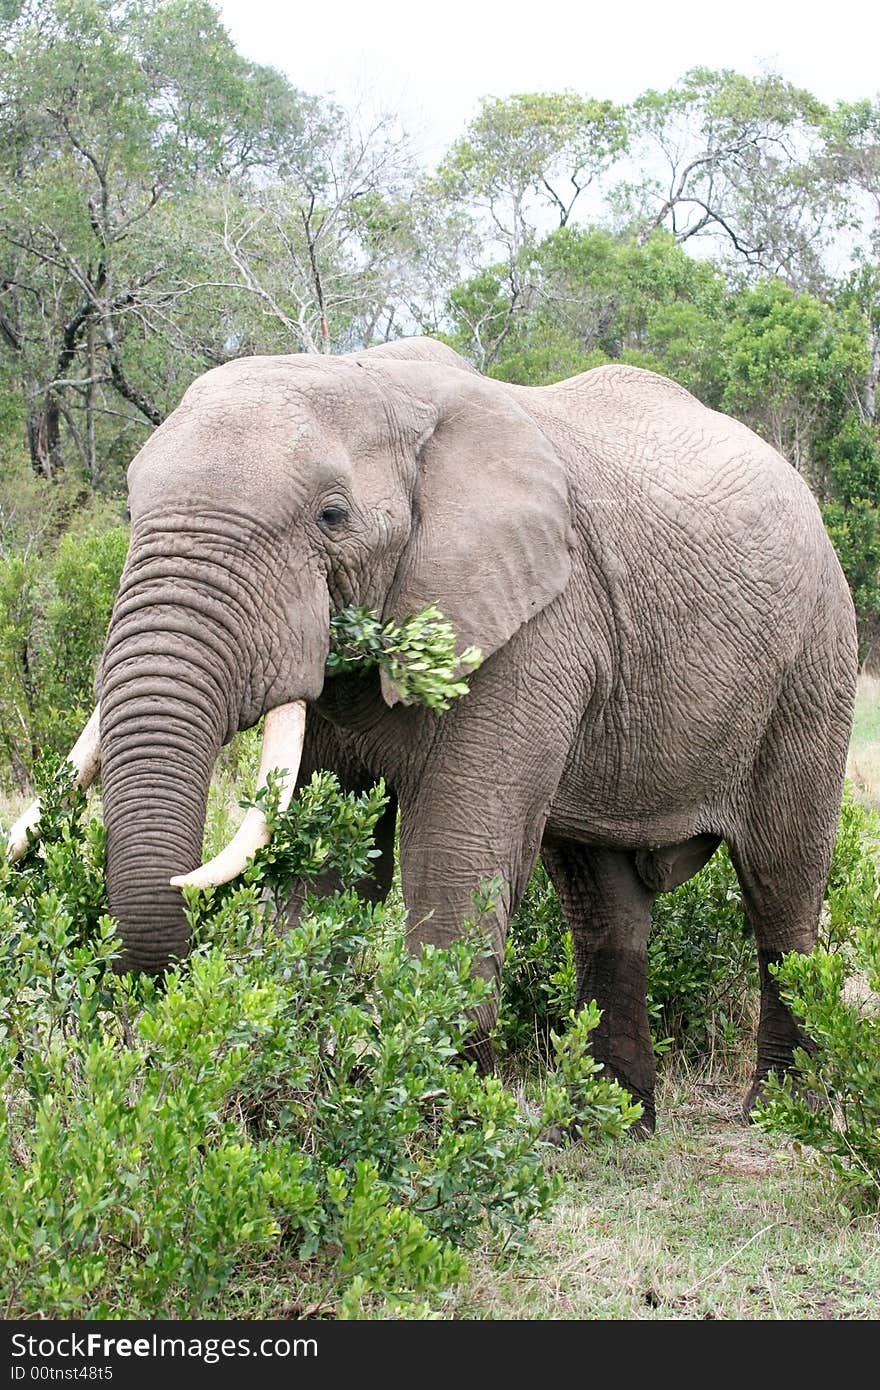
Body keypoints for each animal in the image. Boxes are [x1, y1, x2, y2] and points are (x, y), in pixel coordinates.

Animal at [8, 336, 856, 1128]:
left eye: (332, 516)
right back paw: (605, 1130)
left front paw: (428, 1127)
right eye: (129, 512)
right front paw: (292, 1109)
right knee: (603, 902)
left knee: (782, 885)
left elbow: (454, 856)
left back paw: (779, 1112)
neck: (384, 385)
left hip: (815, 661)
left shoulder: (535, 626)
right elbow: (326, 874)